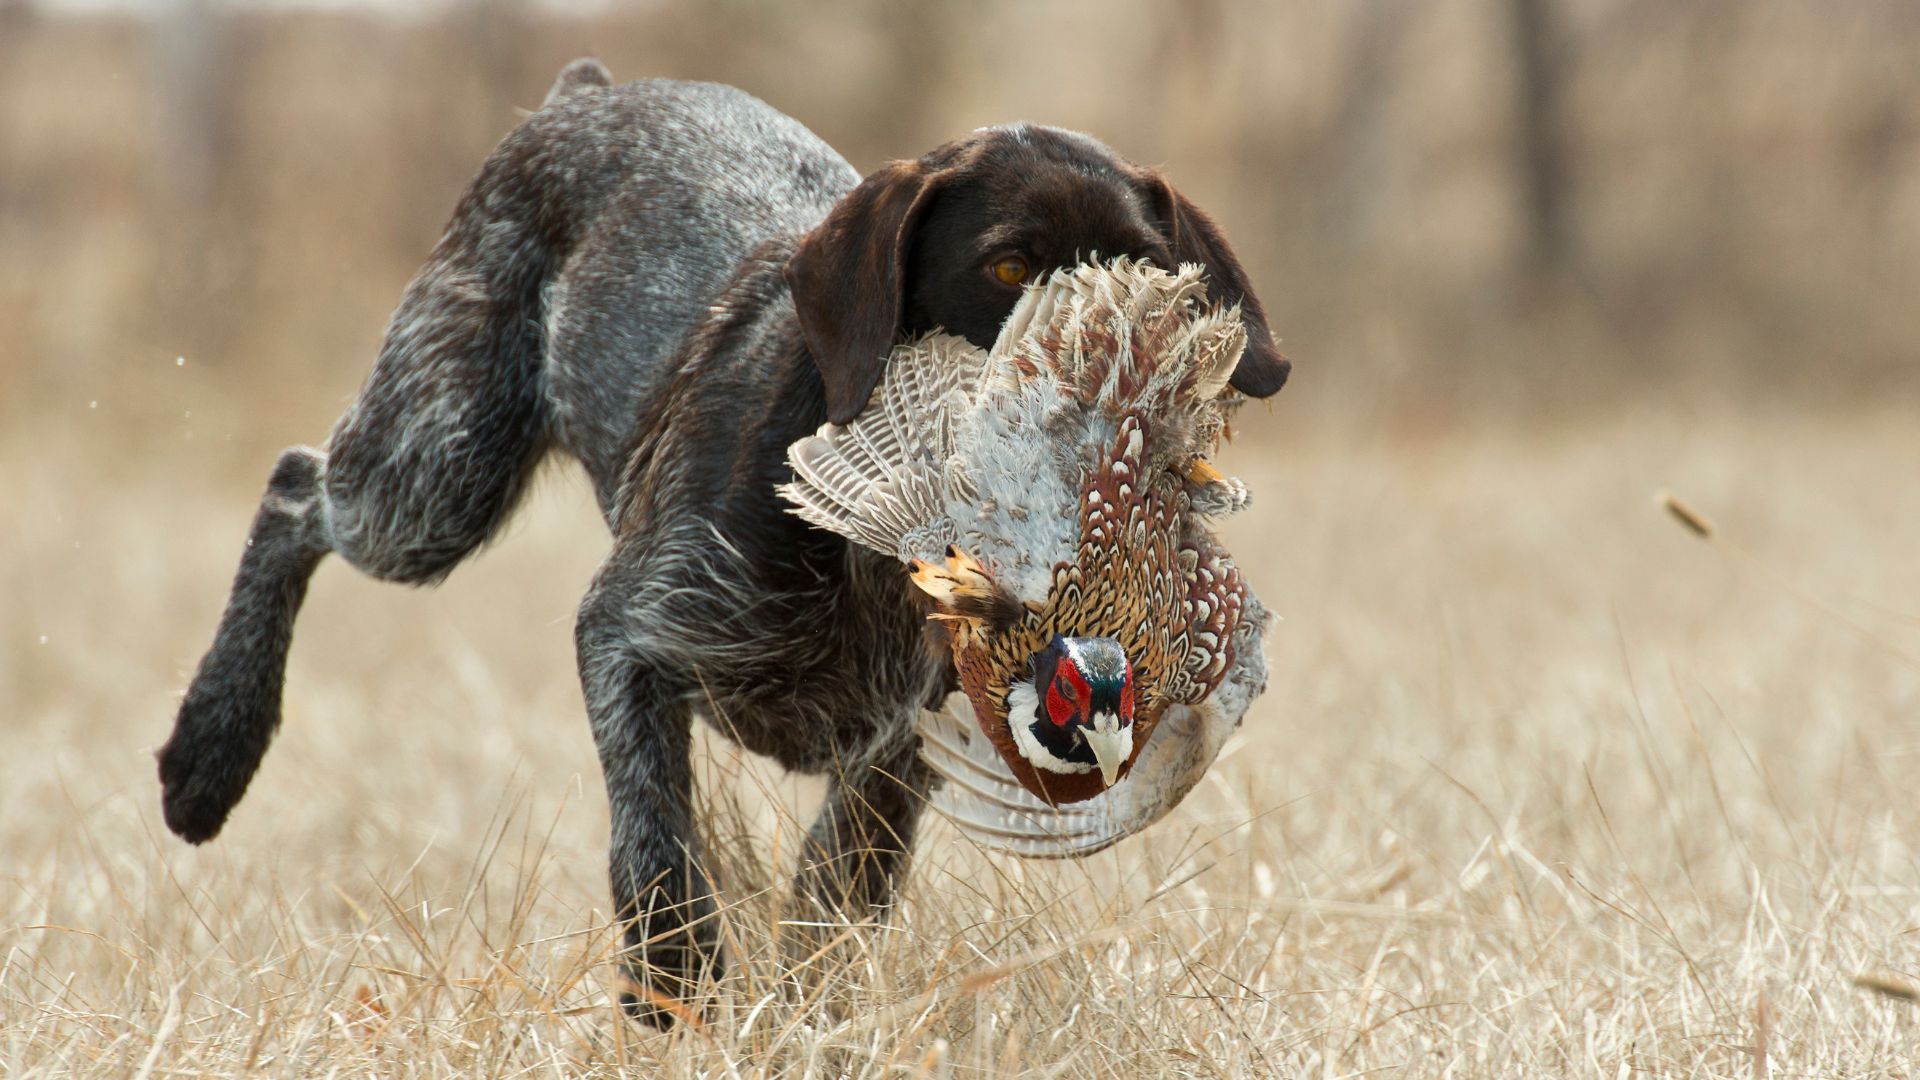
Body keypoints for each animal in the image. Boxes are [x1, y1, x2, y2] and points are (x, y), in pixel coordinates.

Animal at [157, 61, 1282, 1022]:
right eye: (1008, 265)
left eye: (1149, 276)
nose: (1123, 391)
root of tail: (586, 94)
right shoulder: (630, 634)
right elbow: (655, 835)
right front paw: (672, 978)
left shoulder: (906, 744)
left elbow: (836, 897)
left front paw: (804, 1018)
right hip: (437, 474)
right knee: (295, 491)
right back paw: (212, 750)